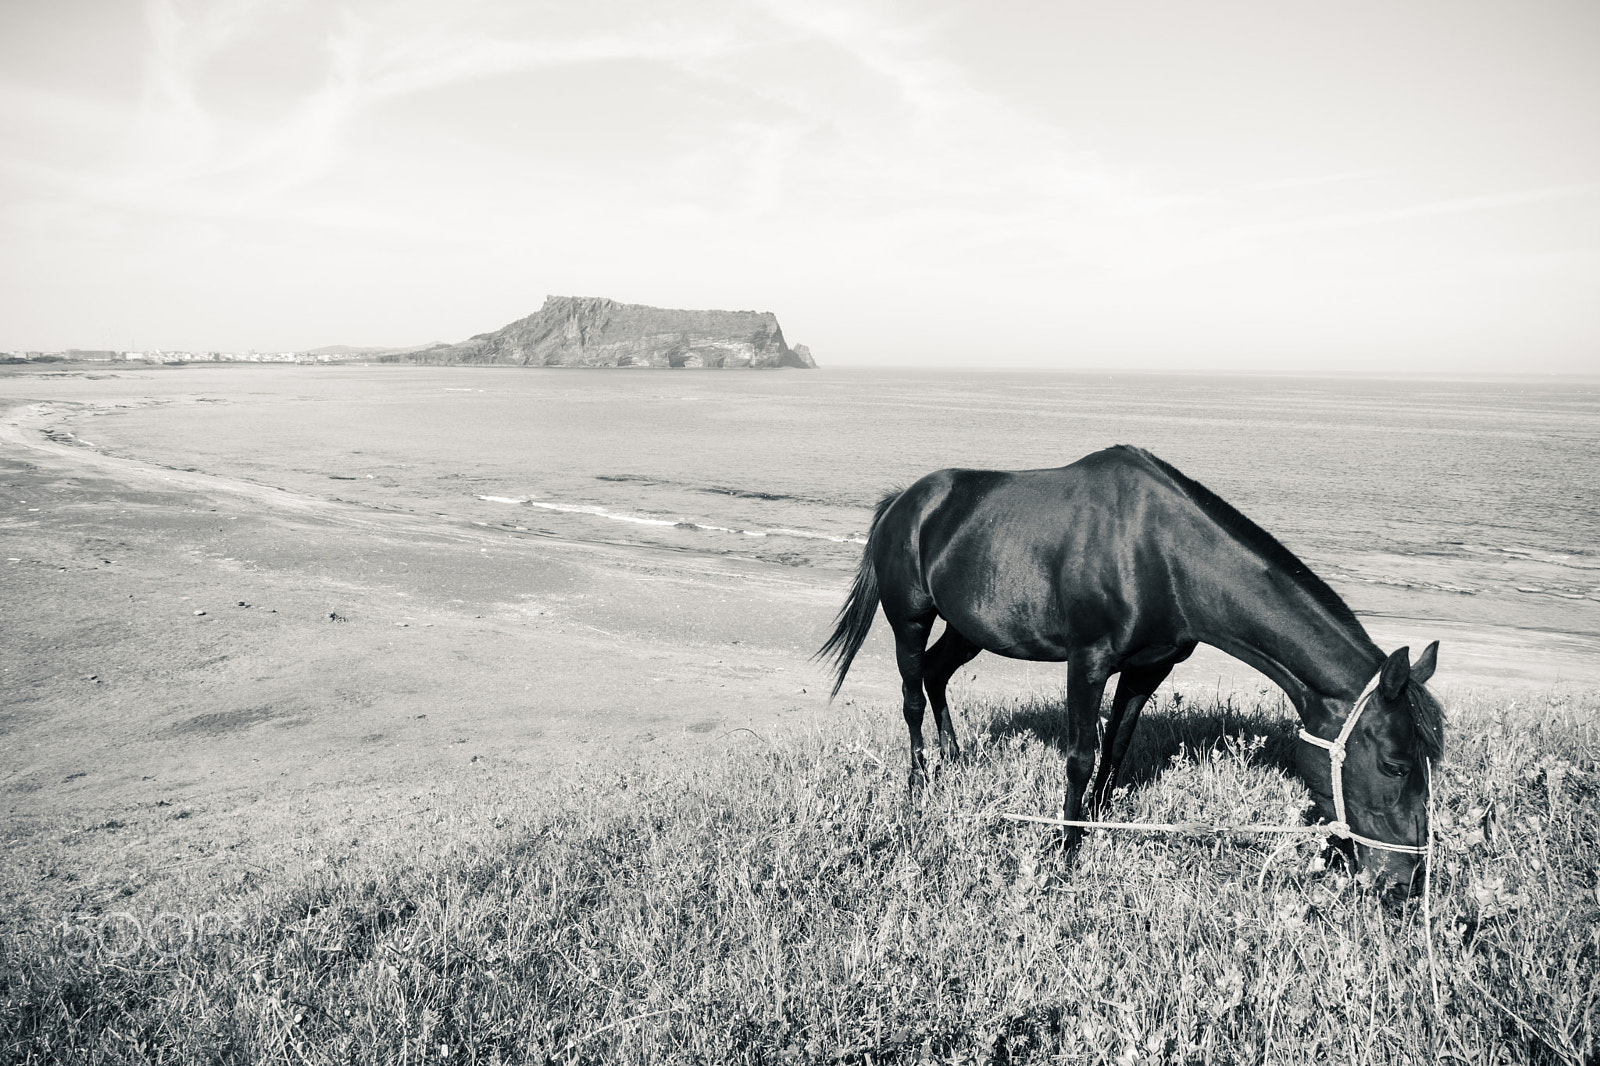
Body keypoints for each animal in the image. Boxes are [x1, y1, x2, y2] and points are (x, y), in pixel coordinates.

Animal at [818, 445, 1443, 888]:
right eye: (1394, 765)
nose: (1406, 880)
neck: (1159, 555)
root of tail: (905, 501)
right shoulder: (1088, 661)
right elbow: (1079, 756)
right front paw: (1066, 848)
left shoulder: (1149, 668)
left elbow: (1116, 746)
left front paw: (1096, 820)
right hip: (911, 620)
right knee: (912, 692)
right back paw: (920, 781)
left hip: (968, 628)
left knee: (936, 673)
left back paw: (955, 757)